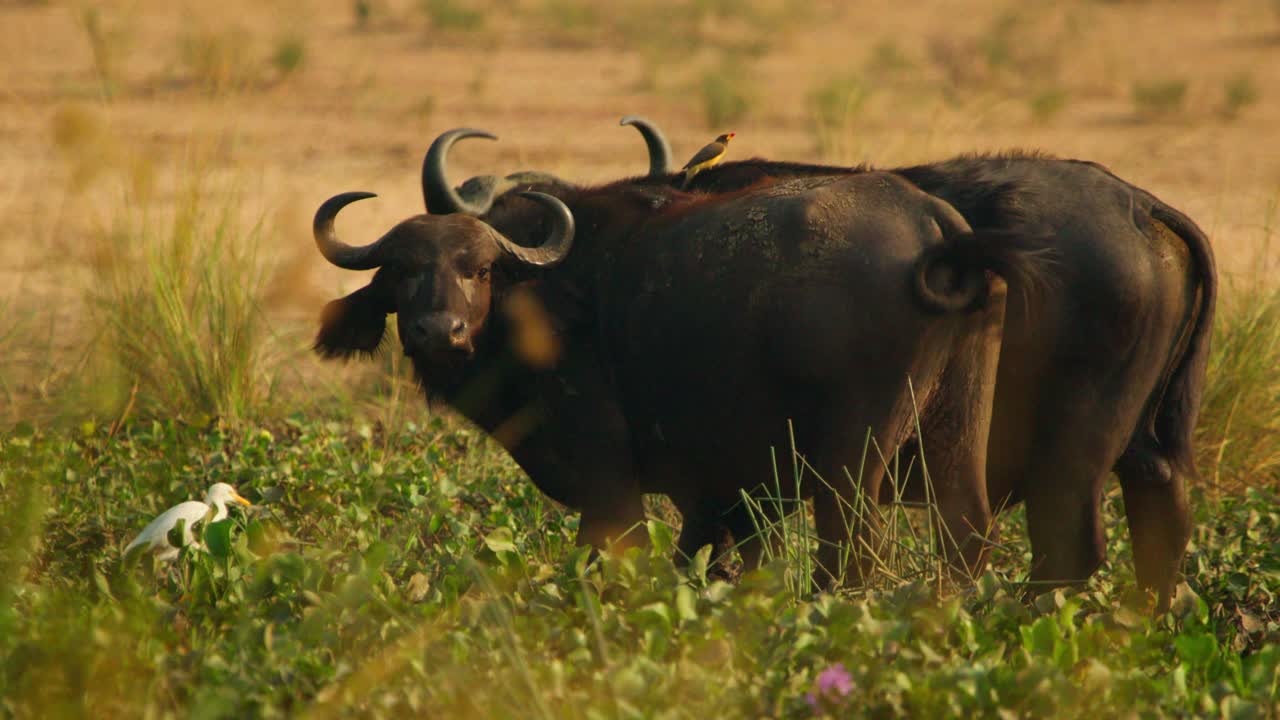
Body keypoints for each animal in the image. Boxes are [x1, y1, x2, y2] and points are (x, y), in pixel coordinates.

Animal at [312, 172, 1052, 586]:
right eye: (401, 270)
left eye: (480, 268)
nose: (438, 332)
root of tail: (935, 222)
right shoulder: (719, 495)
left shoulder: (608, 479)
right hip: (955, 422)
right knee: (965, 532)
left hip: (852, 453)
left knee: (852, 548)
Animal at [424, 120, 1217, 610]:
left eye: (483, 261)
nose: (440, 330)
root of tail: (1140, 206)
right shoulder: (734, 488)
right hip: (1145, 445)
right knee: (1160, 517)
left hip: (1064, 463)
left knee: (1064, 551)